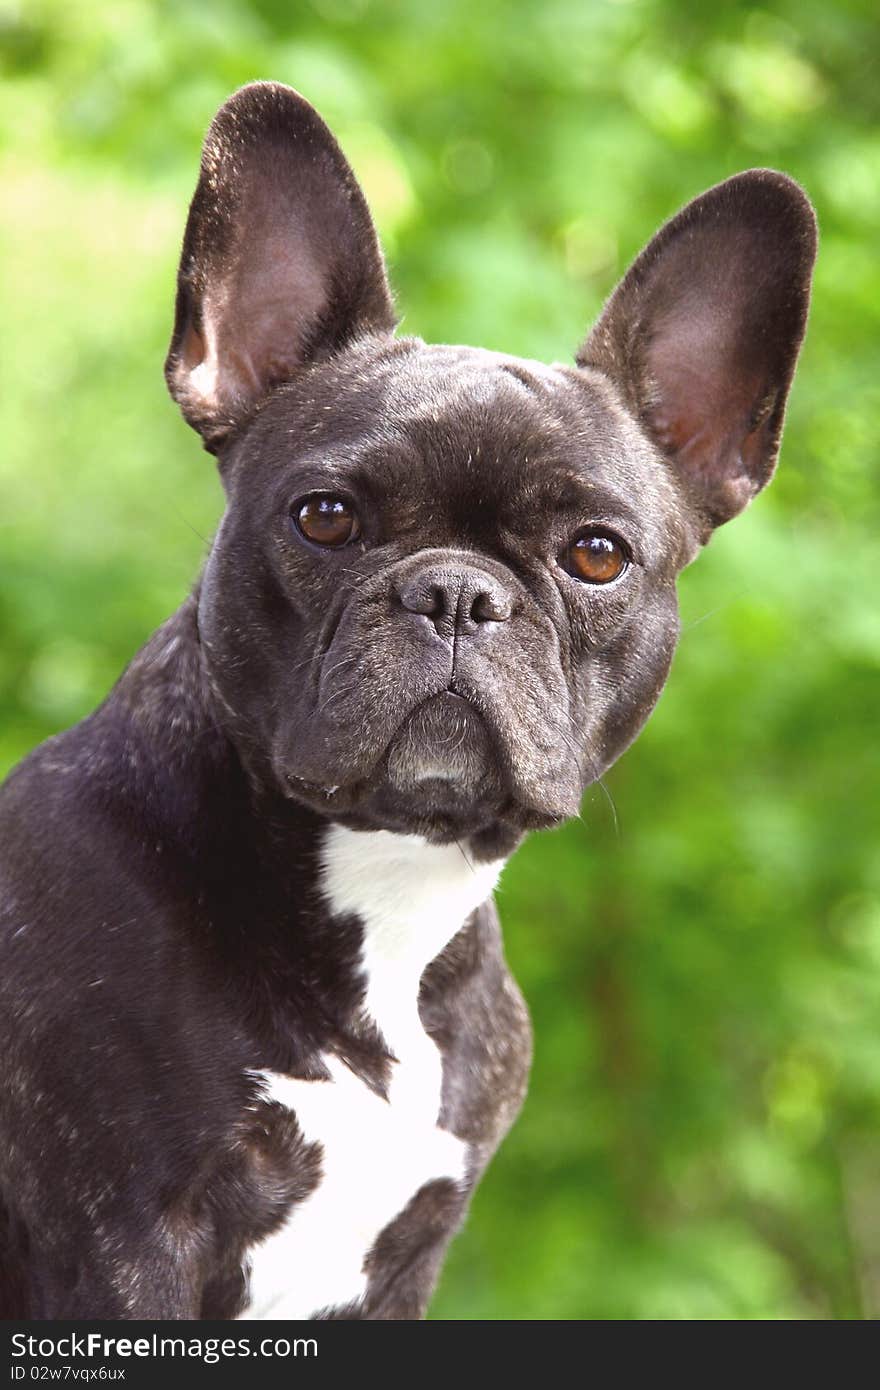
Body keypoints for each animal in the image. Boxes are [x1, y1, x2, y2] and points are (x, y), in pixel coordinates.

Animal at [0, 81, 817, 1317]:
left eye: (596, 554)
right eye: (325, 517)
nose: (456, 593)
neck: (387, 888)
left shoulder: (405, 1261)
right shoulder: (121, 1254)